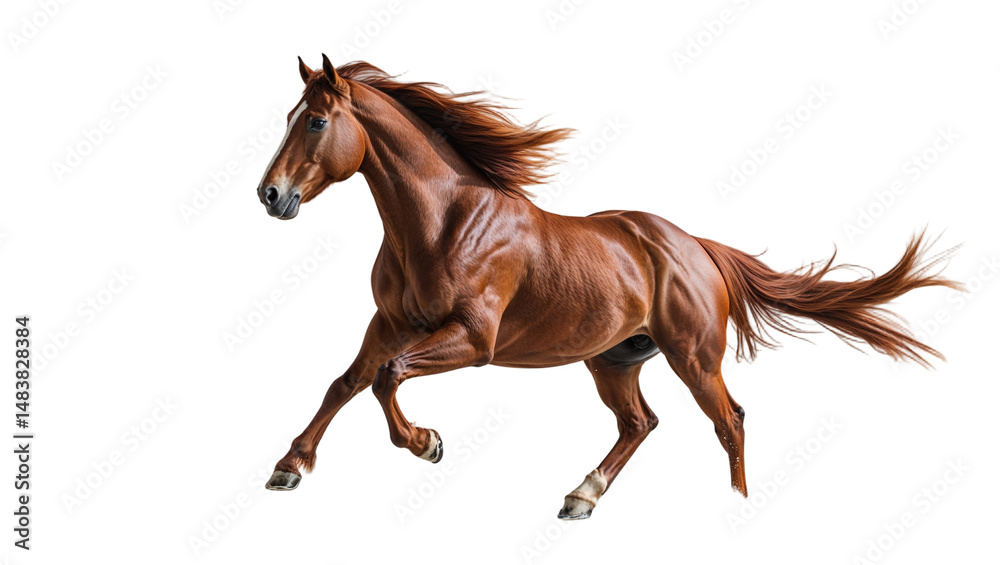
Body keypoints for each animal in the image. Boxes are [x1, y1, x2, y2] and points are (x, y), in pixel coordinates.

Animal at [256, 55, 960, 519]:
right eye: (290, 115)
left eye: (314, 122)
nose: (270, 195)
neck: (444, 221)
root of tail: (694, 246)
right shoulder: (389, 322)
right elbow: (347, 381)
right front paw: (288, 467)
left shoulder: (473, 341)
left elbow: (387, 376)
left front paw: (427, 443)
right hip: (613, 360)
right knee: (640, 422)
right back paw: (580, 496)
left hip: (693, 357)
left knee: (728, 420)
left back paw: (735, 506)